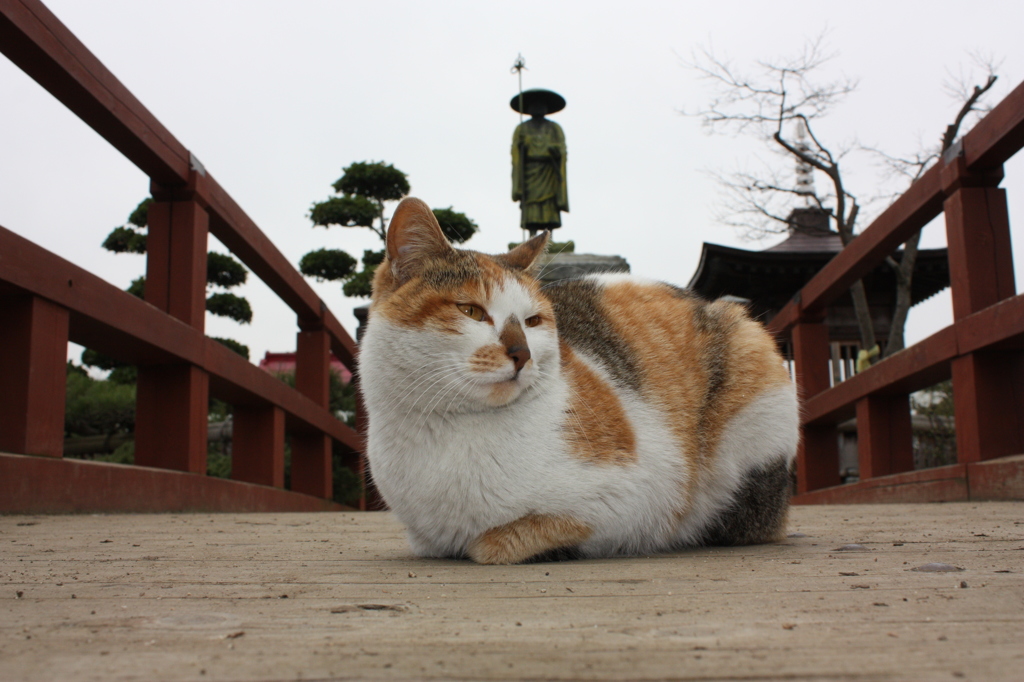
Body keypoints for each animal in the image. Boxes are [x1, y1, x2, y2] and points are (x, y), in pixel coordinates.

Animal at [360, 196, 798, 561]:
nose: (522, 352)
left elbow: (499, 543)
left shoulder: (642, 495)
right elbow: (433, 541)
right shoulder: (422, 535)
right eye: (470, 311)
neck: (449, 431)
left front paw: (499, 540)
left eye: (533, 321)